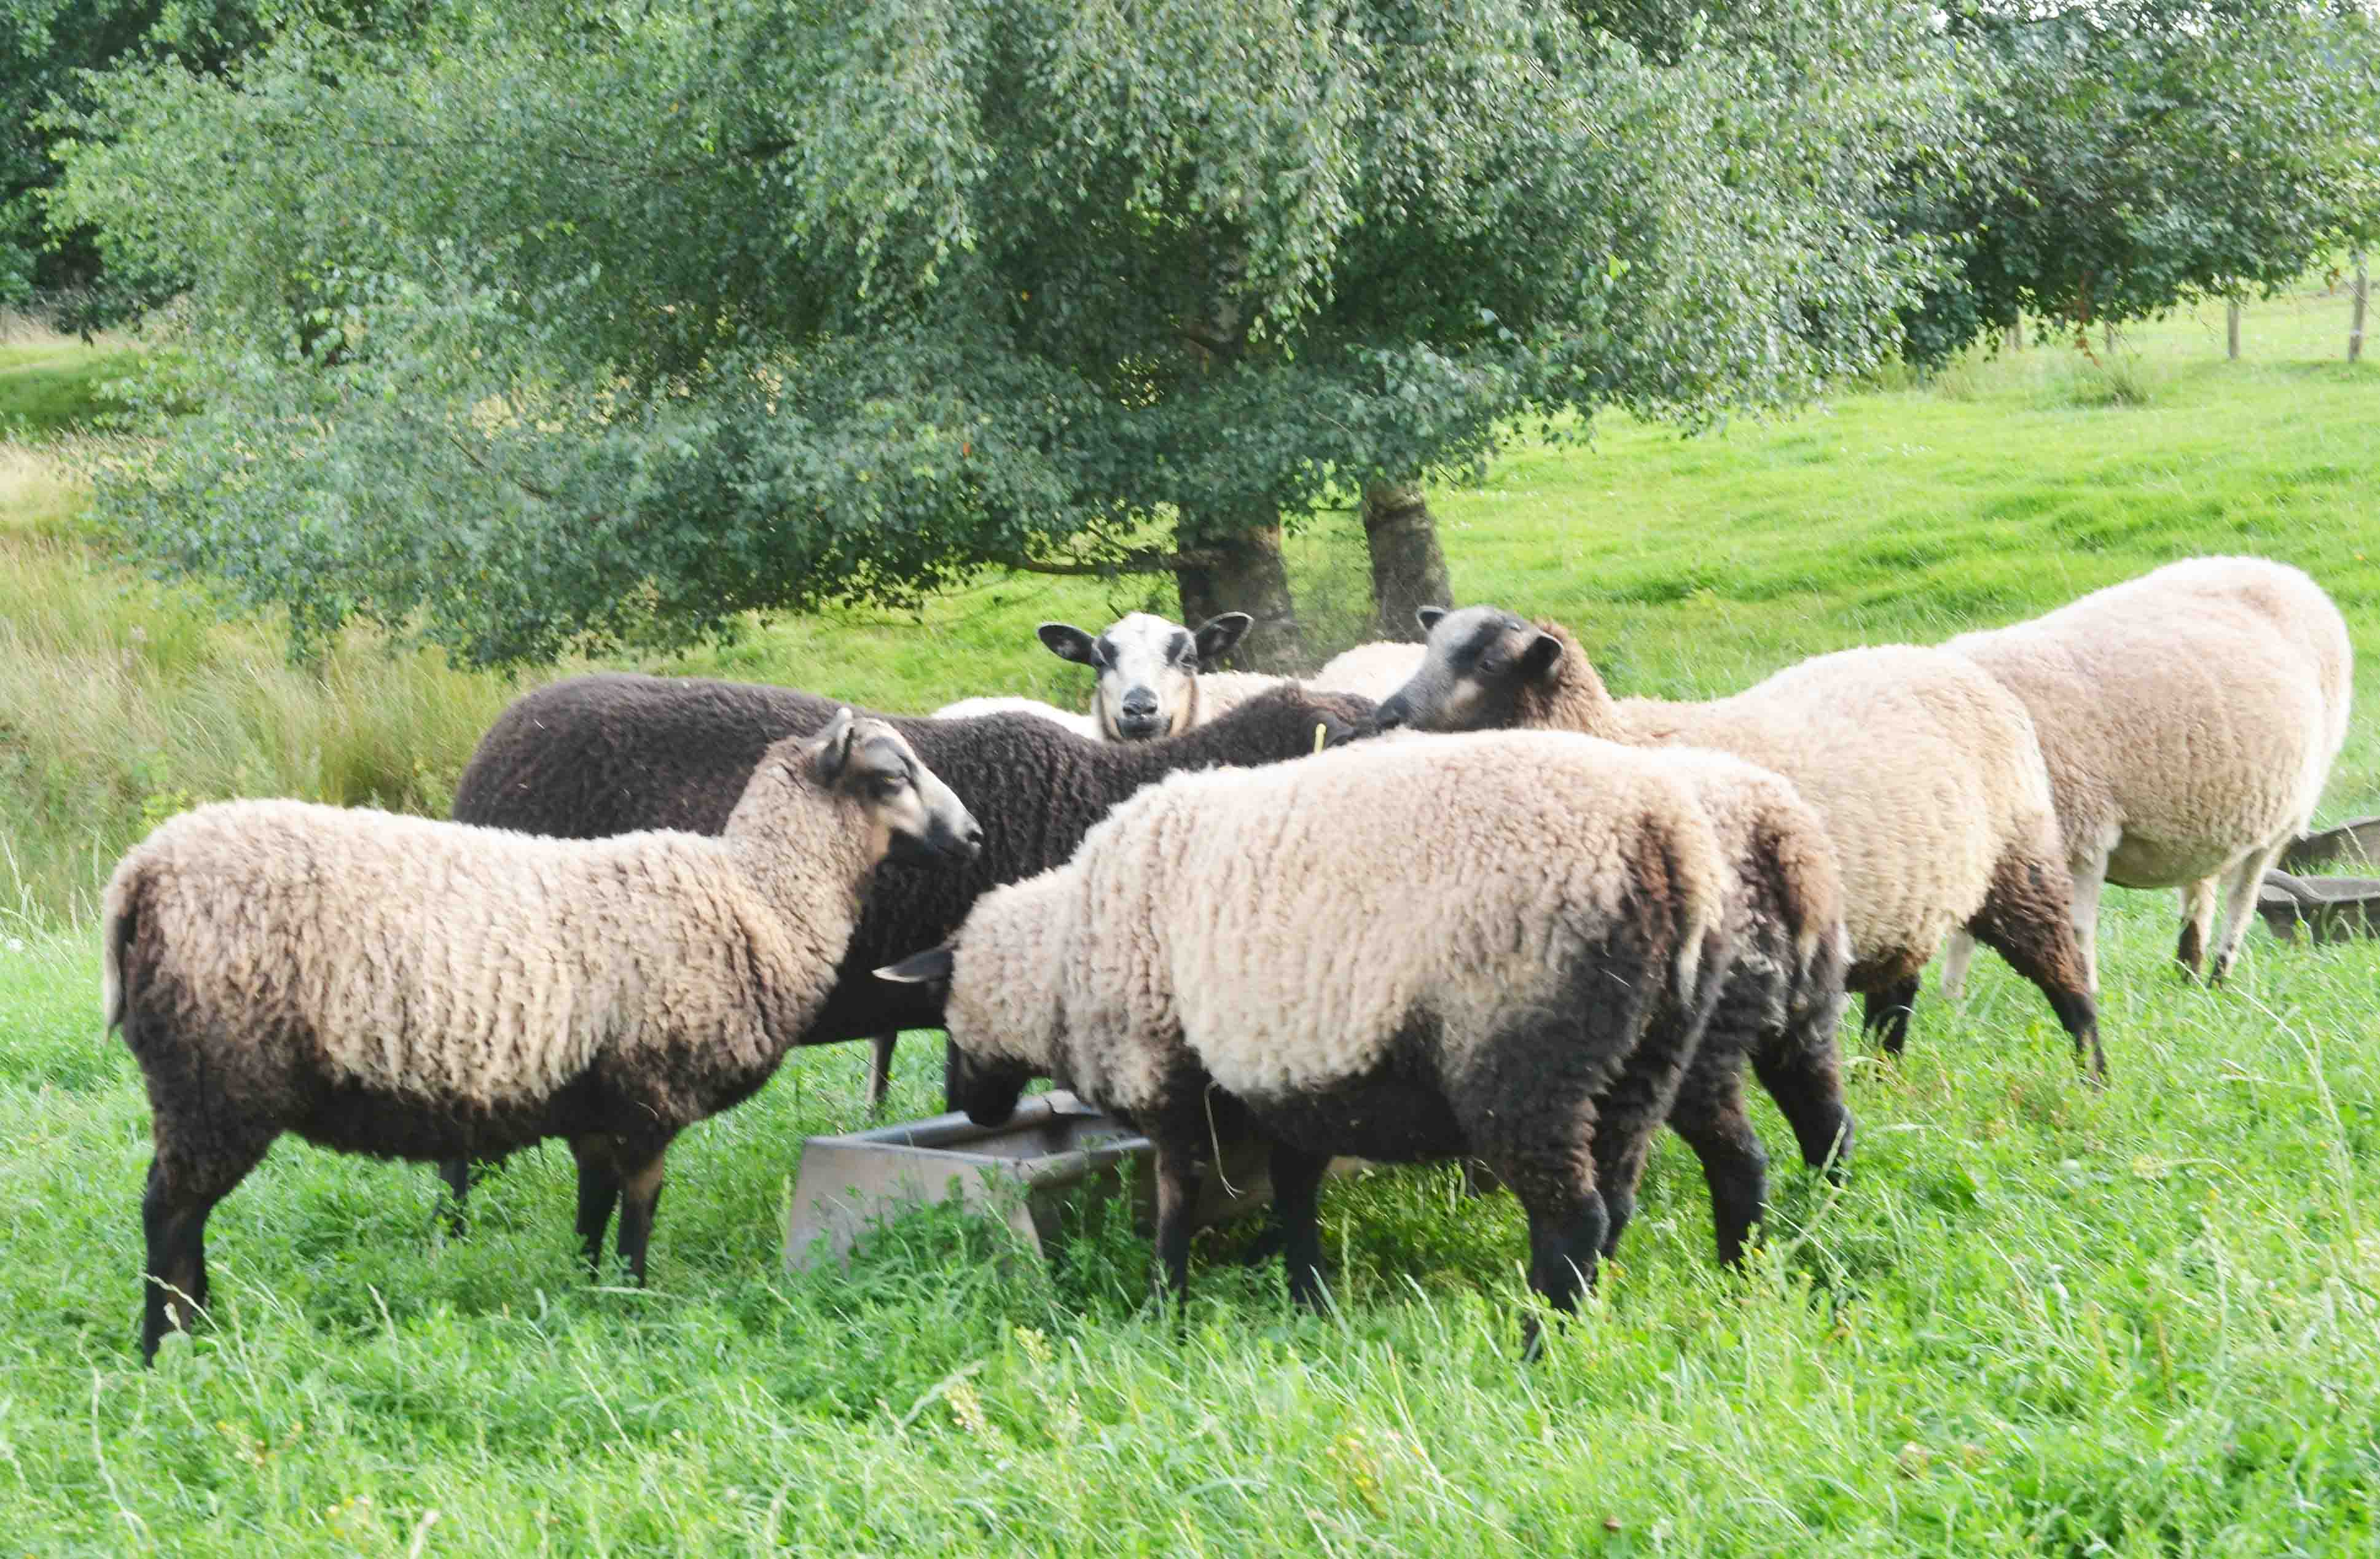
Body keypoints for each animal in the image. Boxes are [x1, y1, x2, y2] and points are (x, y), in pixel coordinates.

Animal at [104, 711, 982, 1363]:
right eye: (891, 777)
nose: (973, 837)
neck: (760, 894)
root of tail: (139, 874)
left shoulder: (593, 1109)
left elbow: (591, 1209)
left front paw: (585, 1293)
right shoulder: (650, 1097)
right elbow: (639, 1210)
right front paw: (632, 1301)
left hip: (202, 1087)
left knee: (186, 1213)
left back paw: (203, 1326)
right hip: (216, 1078)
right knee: (167, 1212)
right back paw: (162, 1346)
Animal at [881, 728, 1738, 1344]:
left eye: (942, 1012)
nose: (972, 1110)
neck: (1062, 951)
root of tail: (1665, 840)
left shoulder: (1166, 1078)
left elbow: (1176, 1201)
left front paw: (1165, 1305)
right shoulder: (1294, 1085)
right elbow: (1295, 1191)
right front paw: (1307, 1294)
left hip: (1523, 1062)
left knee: (1573, 1218)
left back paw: (1539, 1345)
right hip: (1649, 1054)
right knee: (1618, 1199)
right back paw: (1590, 1322)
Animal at [1374, 606, 2106, 1078]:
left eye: (1488, 660)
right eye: (1429, 648)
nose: (1387, 714)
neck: (1616, 738)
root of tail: (1955, 667)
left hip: (2019, 862)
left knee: (2065, 974)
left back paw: (2091, 1076)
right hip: (1908, 901)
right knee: (1895, 997)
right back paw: (1882, 1079)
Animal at [1935, 557, 2352, 999]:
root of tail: (2284, 572)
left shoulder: (2082, 837)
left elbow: (2076, 929)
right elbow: (1964, 934)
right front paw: (1952, 1001)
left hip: (2282, 818)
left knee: (2242, 899)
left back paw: (2219, 976)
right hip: (2208, 813)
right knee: (2199, 892)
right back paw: (2189, 971)